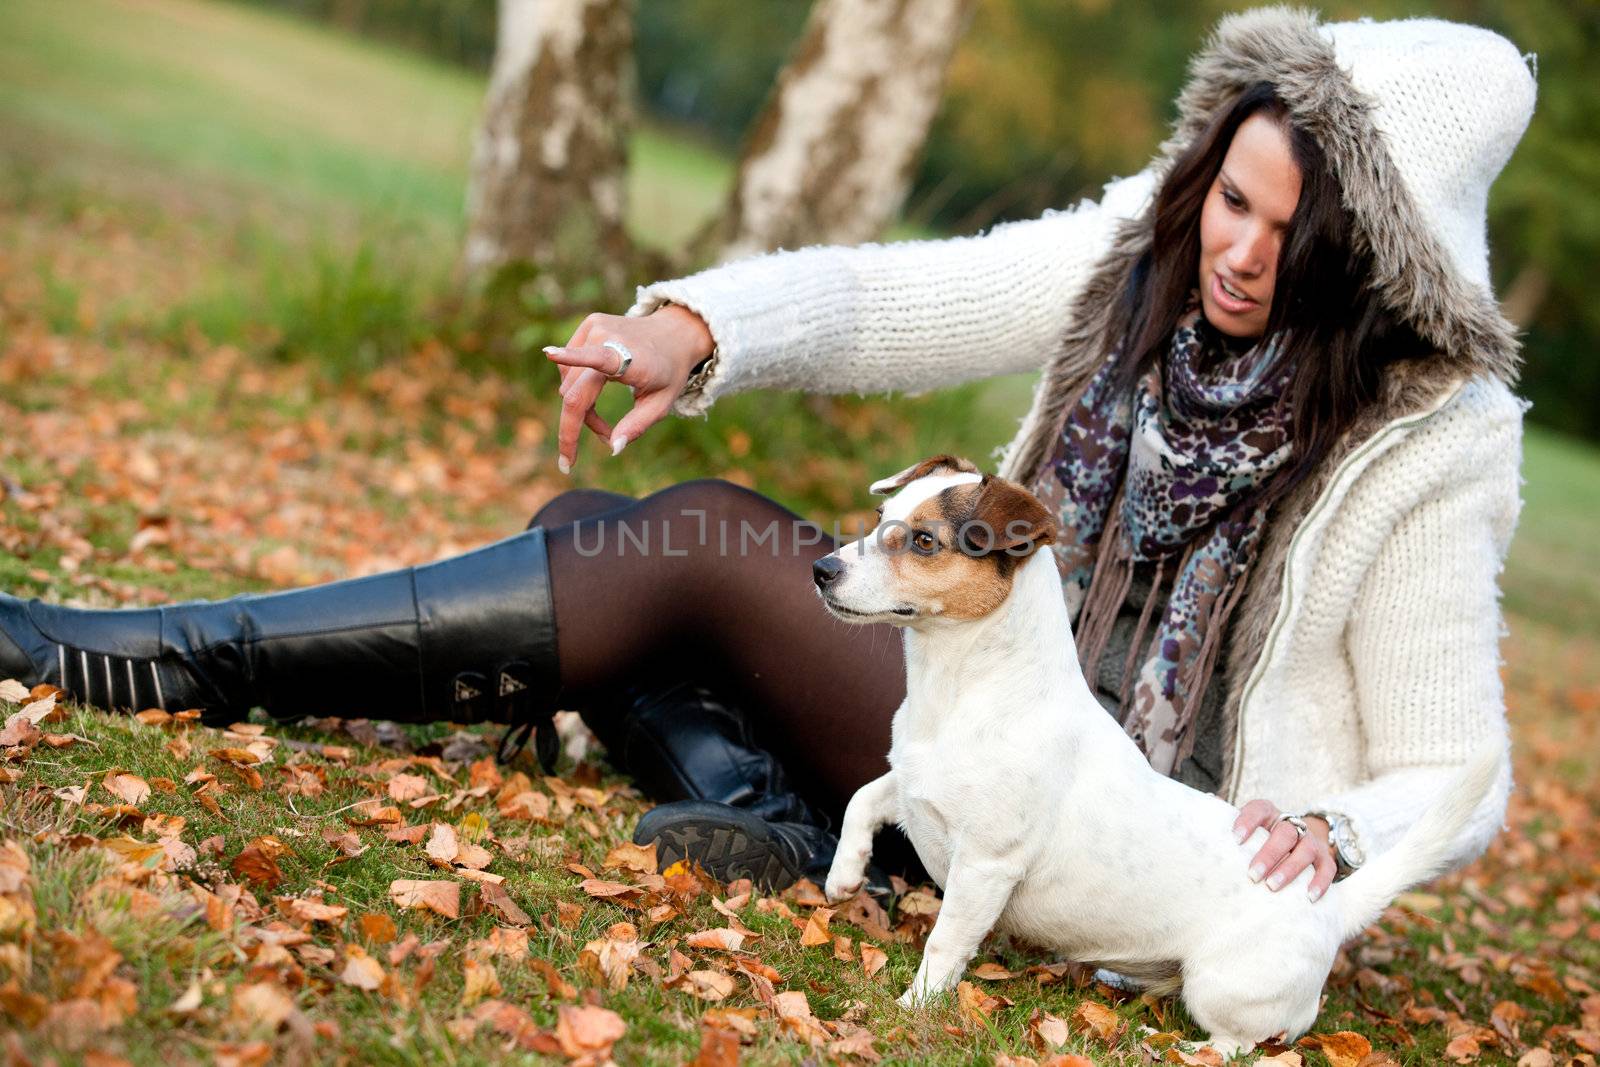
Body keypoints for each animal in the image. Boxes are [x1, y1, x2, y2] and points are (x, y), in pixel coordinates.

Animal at [812, 454, 1497, 1055]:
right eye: (879, 521)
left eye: (924, 541)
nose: (821, 569)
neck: (960, 692)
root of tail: (1331, 904)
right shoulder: (909, 787)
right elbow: (863, 799)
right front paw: (844, 876)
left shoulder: (985, 866)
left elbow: (946, 942)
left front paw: (914, 1008)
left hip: (1222, 987)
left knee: (1241, 1047)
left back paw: (1172, 1046)